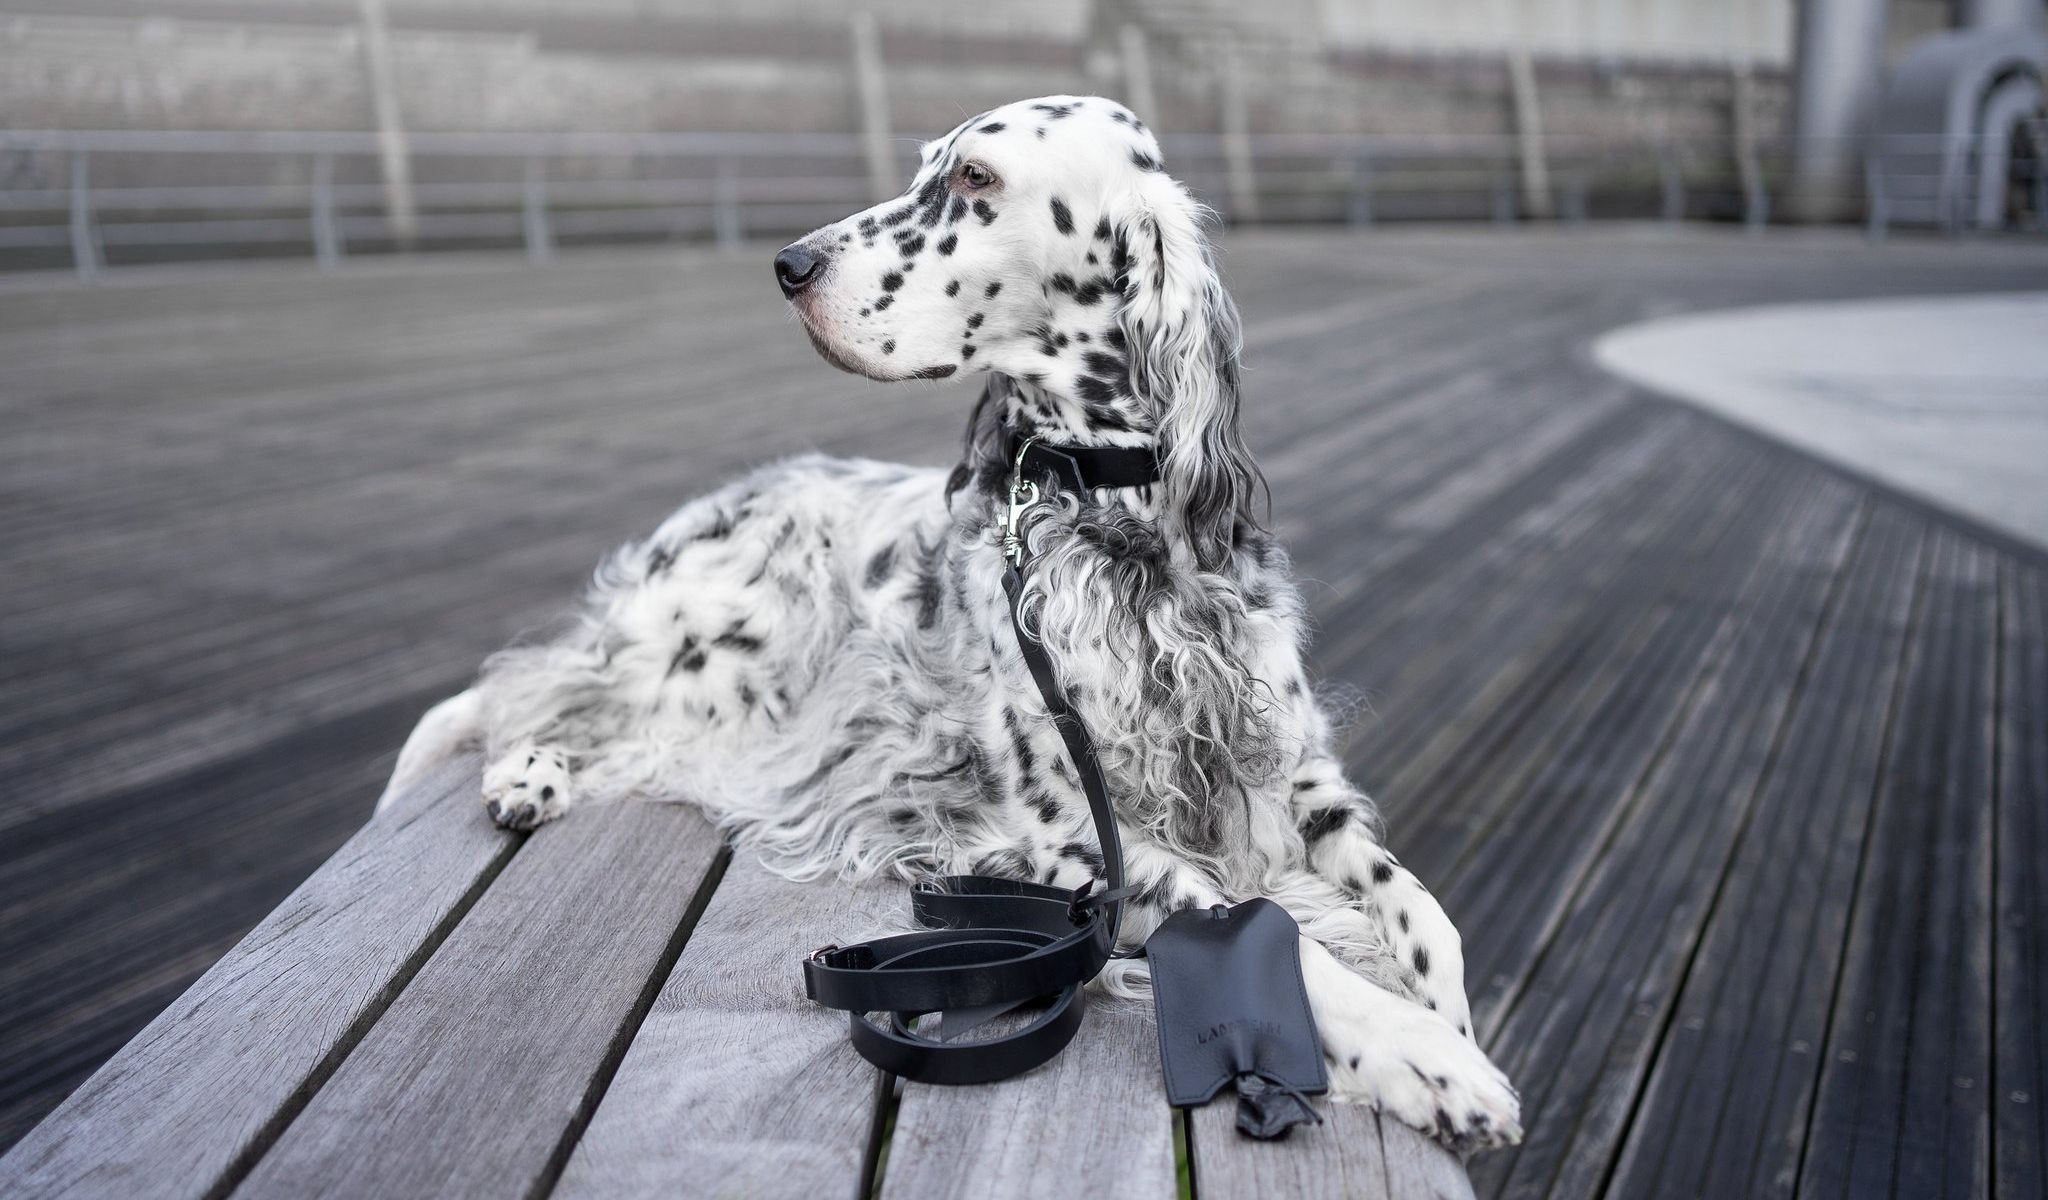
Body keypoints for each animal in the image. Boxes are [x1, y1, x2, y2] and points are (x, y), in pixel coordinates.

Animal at [385, 95, 1523, 1146]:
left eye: (974, 178)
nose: (788, 265)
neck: (1113, 527)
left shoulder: (1294, 779)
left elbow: (1427, 917)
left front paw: (1445, 1017)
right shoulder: (1076, 843)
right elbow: (1263, 927)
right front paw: (1425, 1058)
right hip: (724, 649)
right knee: (544, 688)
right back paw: (526, 771)